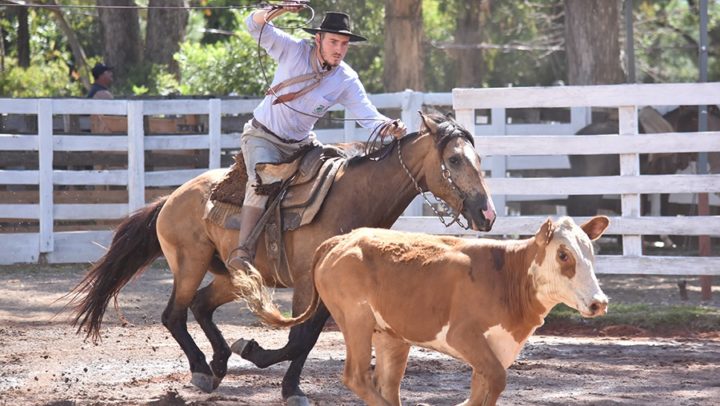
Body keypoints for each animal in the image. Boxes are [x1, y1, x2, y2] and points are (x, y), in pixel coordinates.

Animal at [66, 112, 496, 406]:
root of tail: (172, 196)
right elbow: (298, 337)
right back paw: (202, 370)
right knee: (174, 313)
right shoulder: (307, 284)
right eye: (455, 160)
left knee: (201, 306)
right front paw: (258, 356)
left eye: (478, 159)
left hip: (234, 276)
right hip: (189, 264)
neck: (352, 199)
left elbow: (306, 338)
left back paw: (219, 362)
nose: (487, 214)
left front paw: (284, 381)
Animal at [310, 216, 608, 406]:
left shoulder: (496, 346)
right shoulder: (463, 336)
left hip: (389, 335)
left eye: (591, 253)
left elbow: (481, 388)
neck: (507, 274)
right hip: (355, 320)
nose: (599, 302)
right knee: (357, 376)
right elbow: (496, 379)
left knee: (387, 384)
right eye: (563, 255)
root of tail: (343, 239)